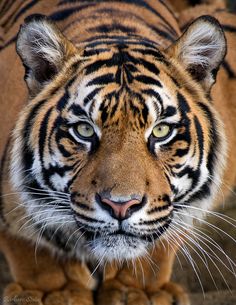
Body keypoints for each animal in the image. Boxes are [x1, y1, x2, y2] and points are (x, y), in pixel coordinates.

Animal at [0, 0, 235, 302]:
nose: (120, 206)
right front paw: (52, 292)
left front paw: (138, 291)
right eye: (84, 130)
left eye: (161, 131)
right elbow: (31, 250)